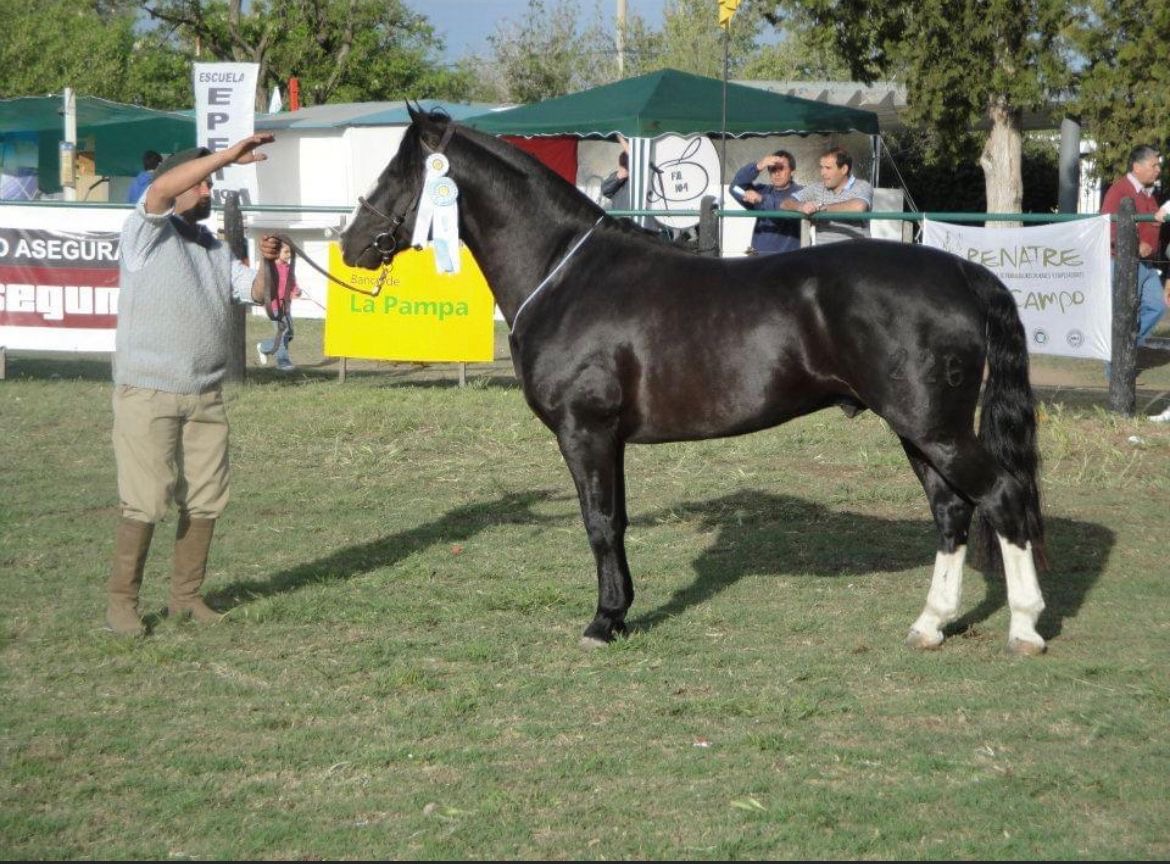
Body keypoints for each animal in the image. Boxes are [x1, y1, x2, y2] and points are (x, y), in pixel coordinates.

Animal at [341, 105, 1048, 650]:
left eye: (400, 171)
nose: (352, 244)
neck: (567, 275)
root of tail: (962, 273)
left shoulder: (585, 432)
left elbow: (600, 523)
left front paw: (604, 621)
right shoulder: (610, 439)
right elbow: (617, 520)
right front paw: (620, 612)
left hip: (936, 428)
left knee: (1002, 498)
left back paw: (1025, 628)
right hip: (919, 430)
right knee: (952, 513)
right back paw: (931, 625)